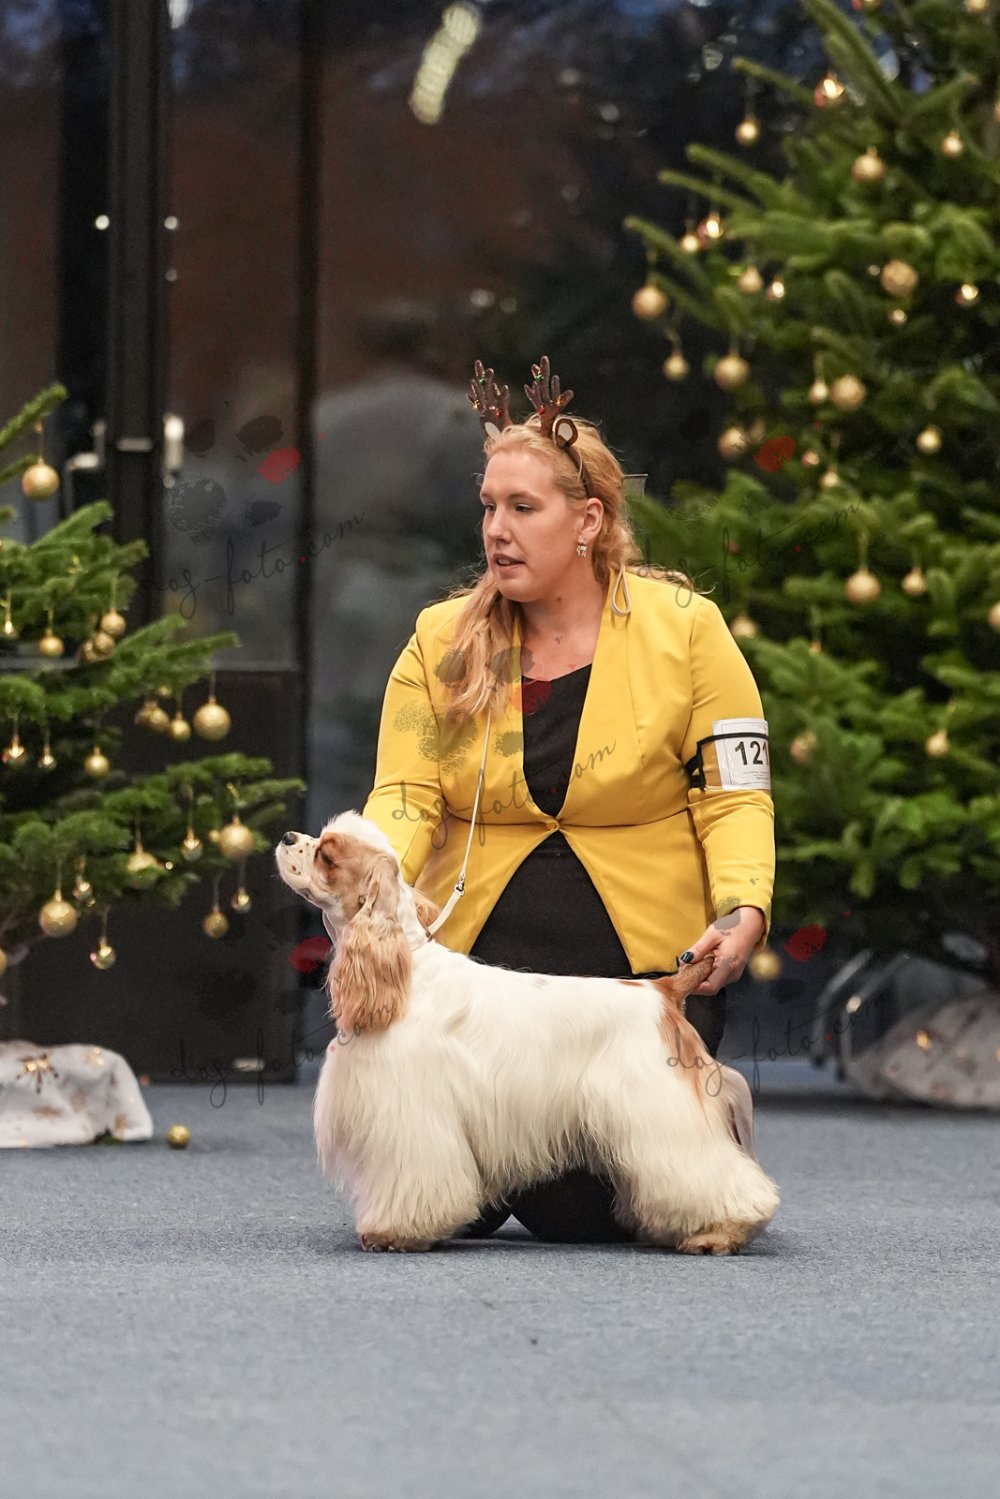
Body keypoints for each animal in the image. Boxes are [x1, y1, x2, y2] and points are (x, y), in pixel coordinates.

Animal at [276, 812, 780, 1253]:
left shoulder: (410, 1113)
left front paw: (393, 1233)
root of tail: (663, 991)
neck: (405, 973)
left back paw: (719, 1233)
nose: (286, 836)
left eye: (327, 854)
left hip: (660, 1112)